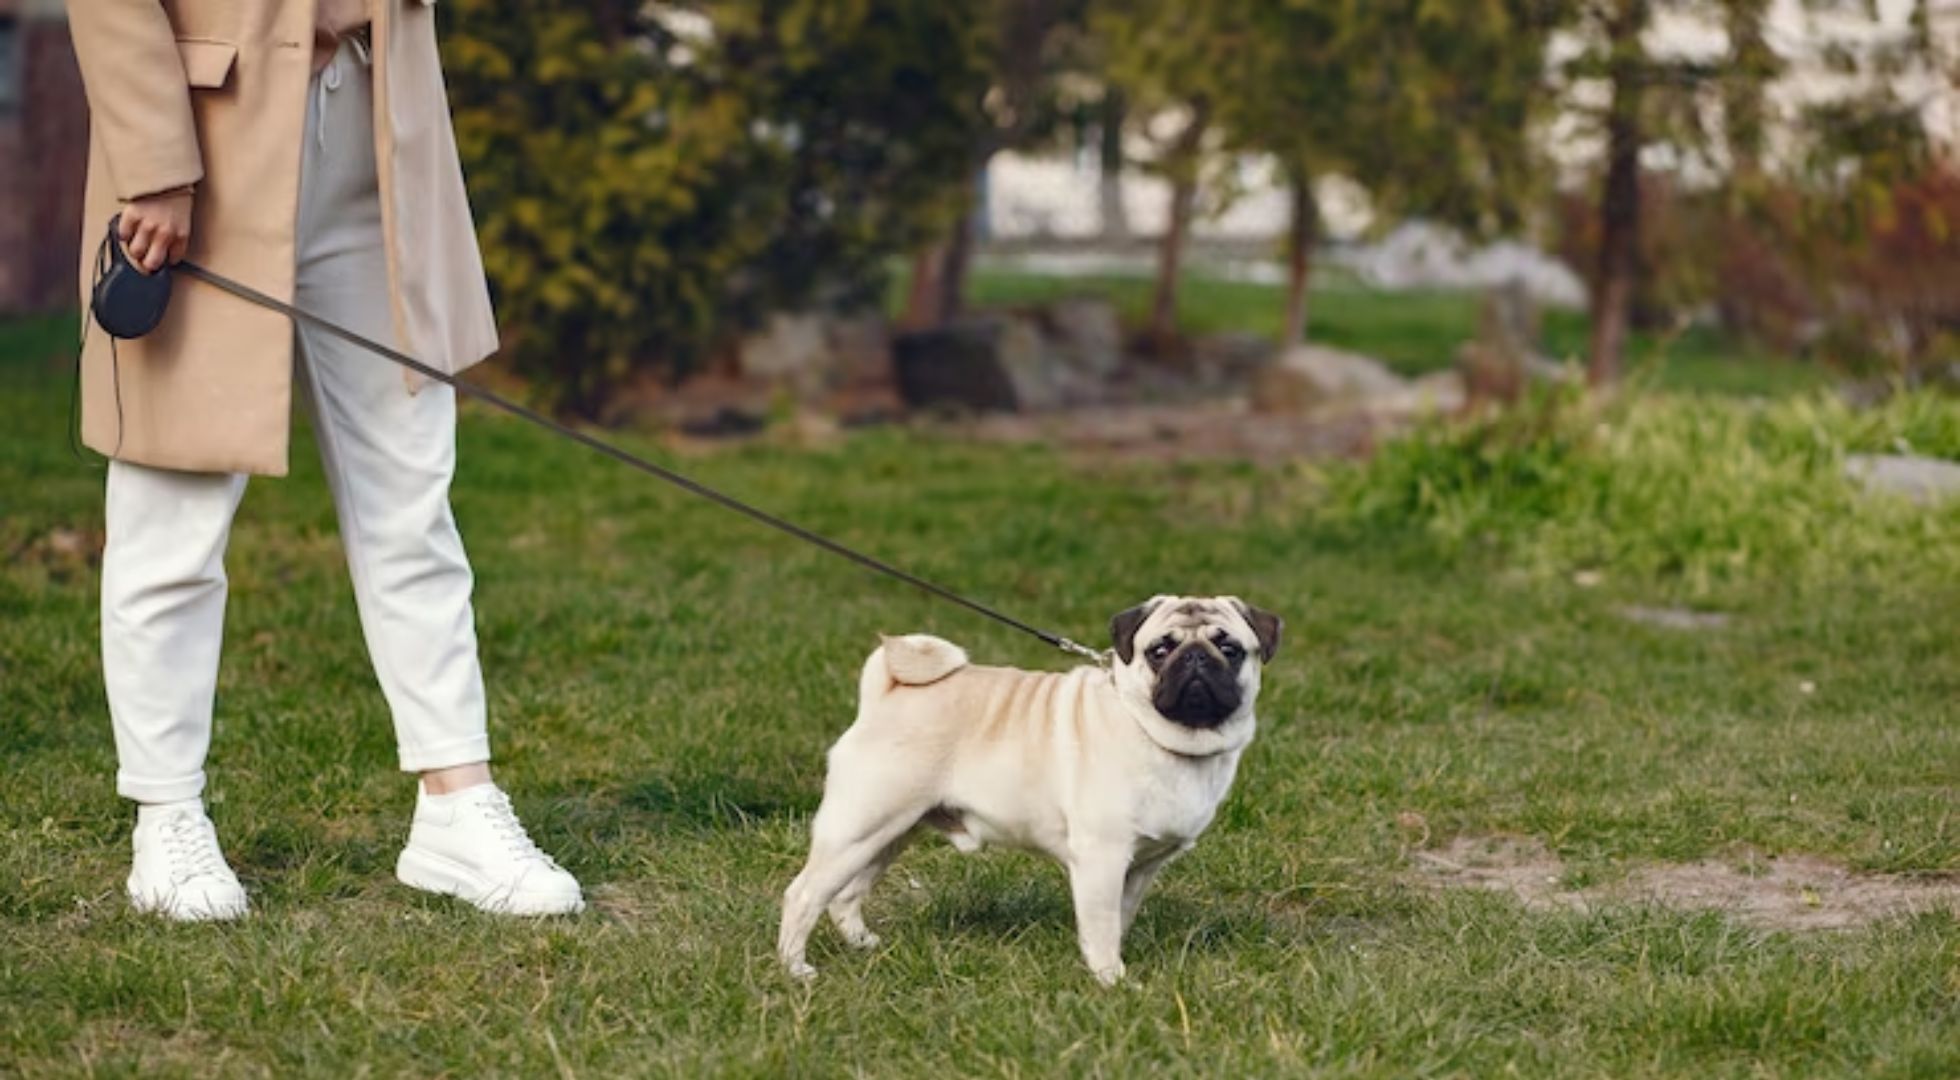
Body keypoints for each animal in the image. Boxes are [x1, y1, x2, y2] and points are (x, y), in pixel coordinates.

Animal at [780, 599, 1285, 987]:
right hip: (858, 829)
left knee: (846, 895)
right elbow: (1101, 924)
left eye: (1230, 649)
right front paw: (1110, 979)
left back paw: (863, 945)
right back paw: (795, 969)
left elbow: (1116, 920)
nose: (1197, 659)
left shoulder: (1140, 868)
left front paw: (1107, 965)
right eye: (1160, 650)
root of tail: (888, 692)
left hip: (888, 834)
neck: (1163, 738)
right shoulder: (1102, 859)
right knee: (803, 895)